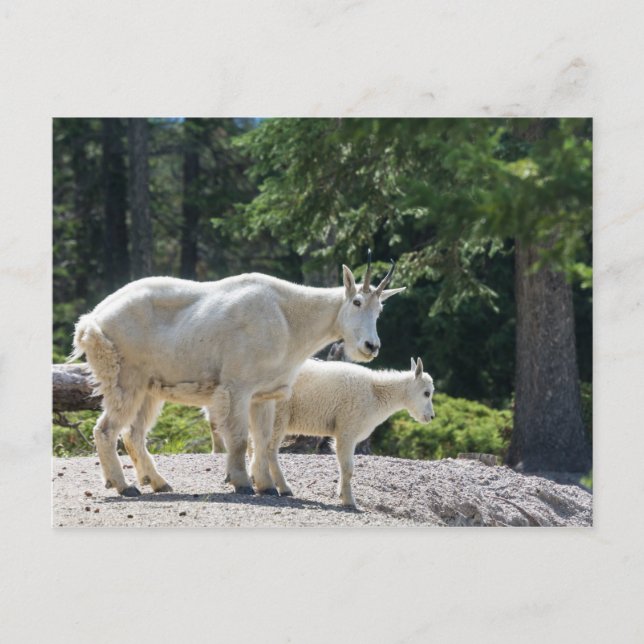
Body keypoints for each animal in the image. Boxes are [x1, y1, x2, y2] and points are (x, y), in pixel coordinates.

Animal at [70, 260, 405, 497]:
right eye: (357, 302)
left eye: (380, 308)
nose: (371, 346)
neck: (290, 320)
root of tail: (90, 321)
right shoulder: (238, 386)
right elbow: (241, 438)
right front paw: (241, 482)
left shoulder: (265, 393)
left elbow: (264, 440)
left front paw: (266, 486)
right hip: (124, 378)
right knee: (105, 430)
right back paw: (124, 486)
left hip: (149, 389)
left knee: (133, 434)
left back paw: (158, 482)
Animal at [206, 357, 435, 508]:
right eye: (426, 393)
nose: (431, 417)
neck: (376, 393)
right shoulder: (347, 429)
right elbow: (348, 468)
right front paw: (349, 501)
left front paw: (342, 495)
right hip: (279, 414)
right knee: (269, 449)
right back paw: (282, 487)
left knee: (256, 446)